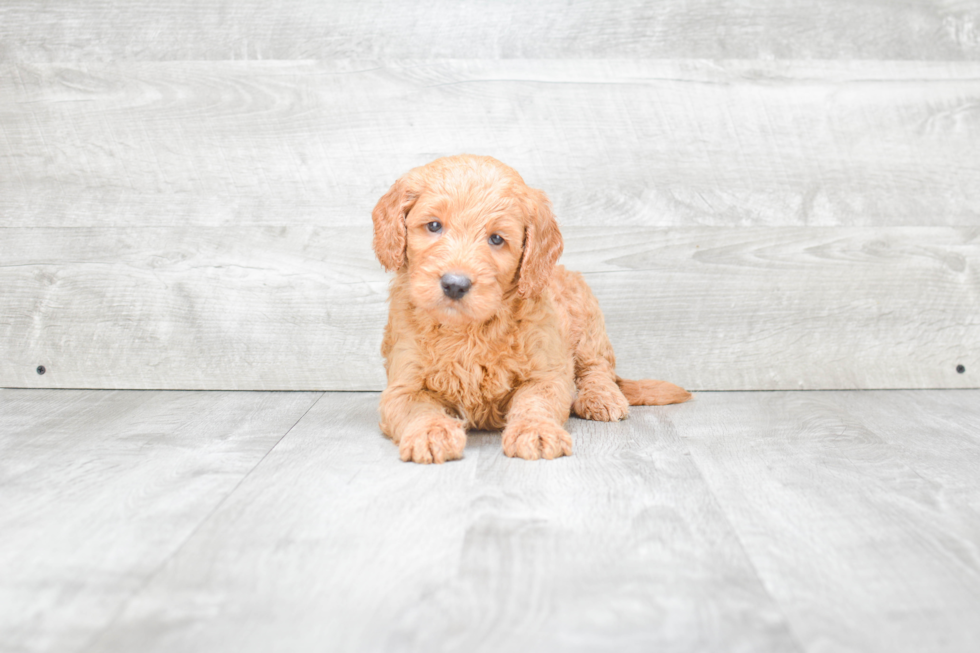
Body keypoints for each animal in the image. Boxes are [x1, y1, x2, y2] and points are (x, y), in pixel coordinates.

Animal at [374, 155, 688, 460]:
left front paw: (535, 431)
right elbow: (417, 408)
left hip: (587, 321)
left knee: (598, 369)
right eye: (434, 226)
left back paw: (601, 397)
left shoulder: (546, 372)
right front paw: (431, 433)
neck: (468, 330)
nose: (454, 284)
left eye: (496, 239)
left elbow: (536, 402)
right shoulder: (404, 383)